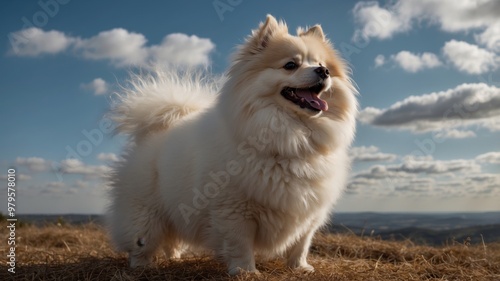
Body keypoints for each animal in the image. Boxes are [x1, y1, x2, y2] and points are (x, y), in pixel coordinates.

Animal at [106, 13, 356, 274]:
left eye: (320, 63)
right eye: (290, 65)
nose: (323, 71)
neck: (293, 137)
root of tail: (151, 134)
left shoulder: (308, 213)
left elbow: (301, 244)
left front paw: (299, 268)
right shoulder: (234, 211)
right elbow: (240, 243)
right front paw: (246, 271)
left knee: (172, 242)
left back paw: (174, 260)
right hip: (145, 215)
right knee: (140, 243)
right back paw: (141, 266)